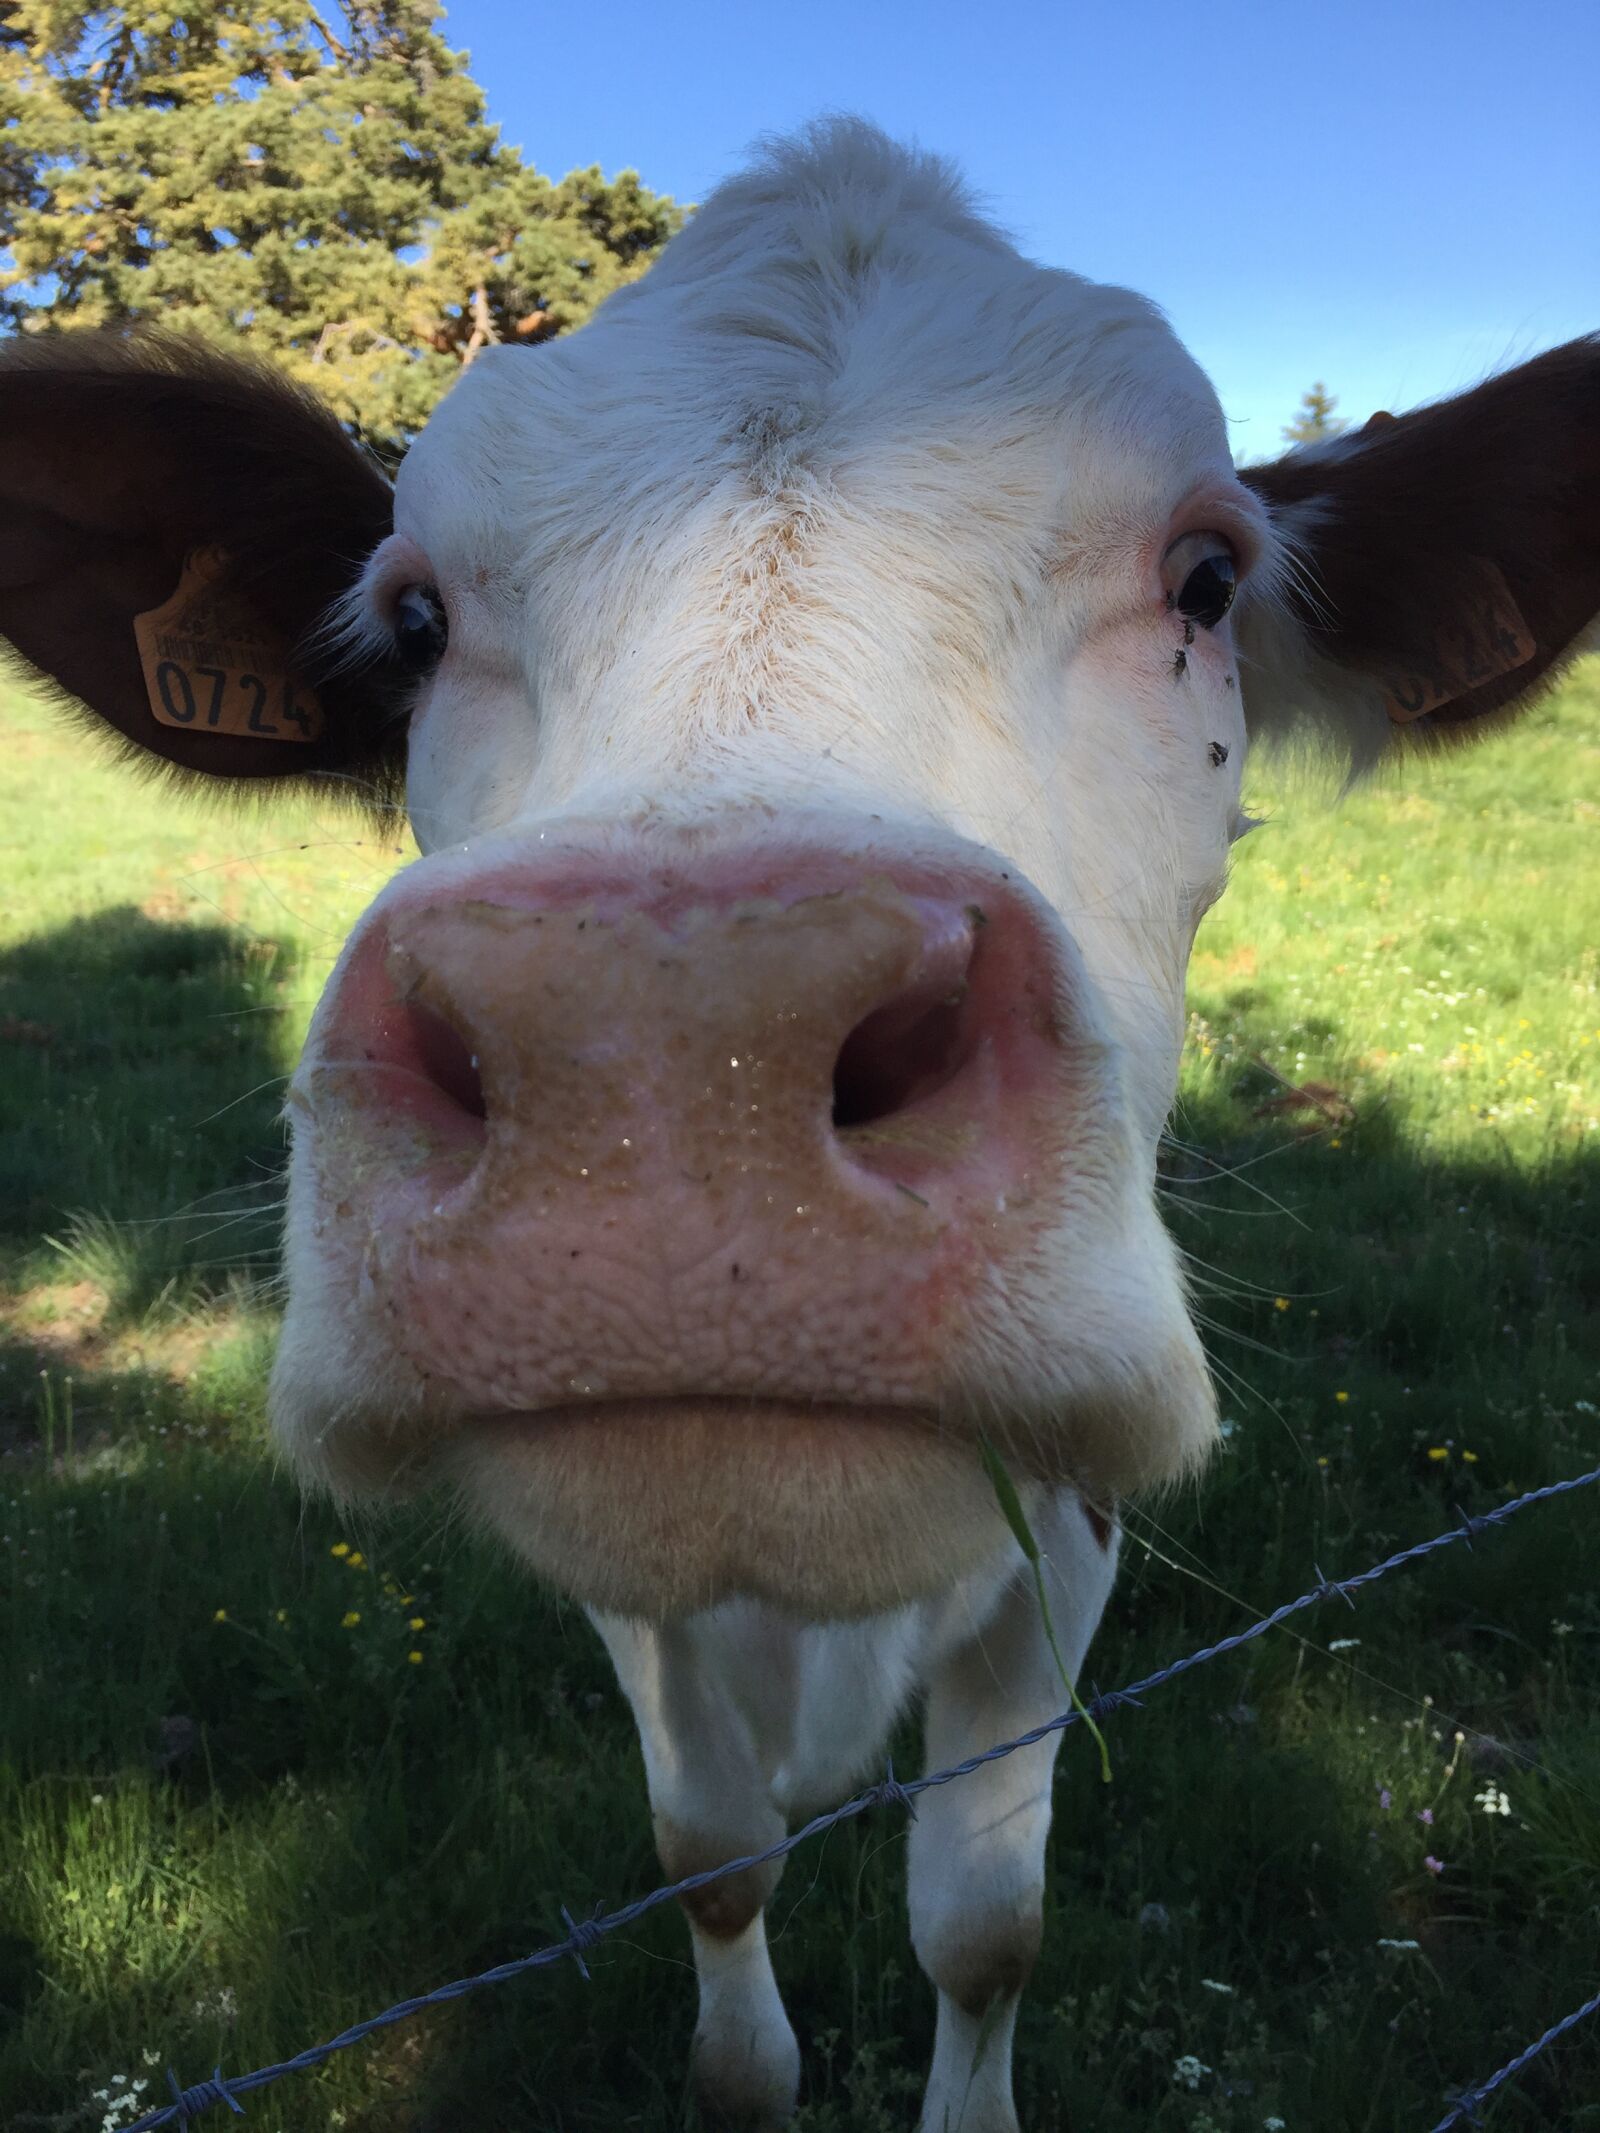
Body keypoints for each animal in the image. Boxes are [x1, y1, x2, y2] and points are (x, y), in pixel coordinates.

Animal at [2, 120, 1595, 2133]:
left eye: (1208, 580)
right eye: (416, 617)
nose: (682, 1054)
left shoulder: (1067, 1539)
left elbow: (984, 1922)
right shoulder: (631, 1598)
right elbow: (712, 1858)